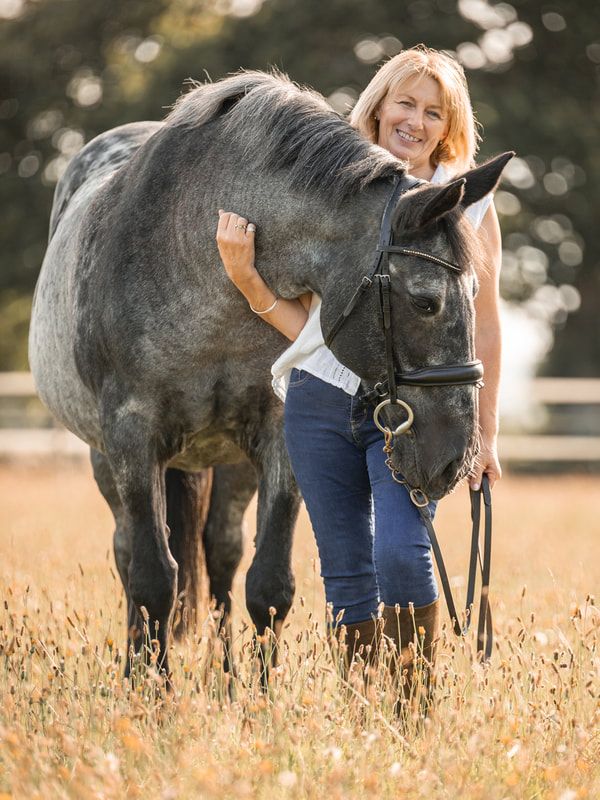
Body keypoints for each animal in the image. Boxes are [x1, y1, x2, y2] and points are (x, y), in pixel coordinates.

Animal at [29, 70, 511, 681]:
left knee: (222, 553)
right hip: (104, 459)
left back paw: (227, 677)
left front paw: (262, 692)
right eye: (426, 303)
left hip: (230, 464)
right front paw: (151, 692)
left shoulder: (278, 436)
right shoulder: (132, 436)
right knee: (127, 554)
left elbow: (269, 584)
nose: (454, 460)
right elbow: (155, 579)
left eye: (477, 292)